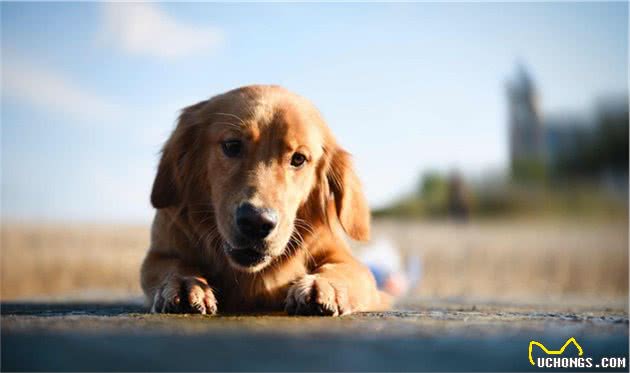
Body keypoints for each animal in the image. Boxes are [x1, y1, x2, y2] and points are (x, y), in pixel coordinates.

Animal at [142, 85, 390, 314]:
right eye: (232, 145)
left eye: (298, 159)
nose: (256, 222)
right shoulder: (159, 254)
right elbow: (174, 264)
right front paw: (186, 283)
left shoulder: (347, 260)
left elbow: (347, 270)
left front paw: (322, 285)